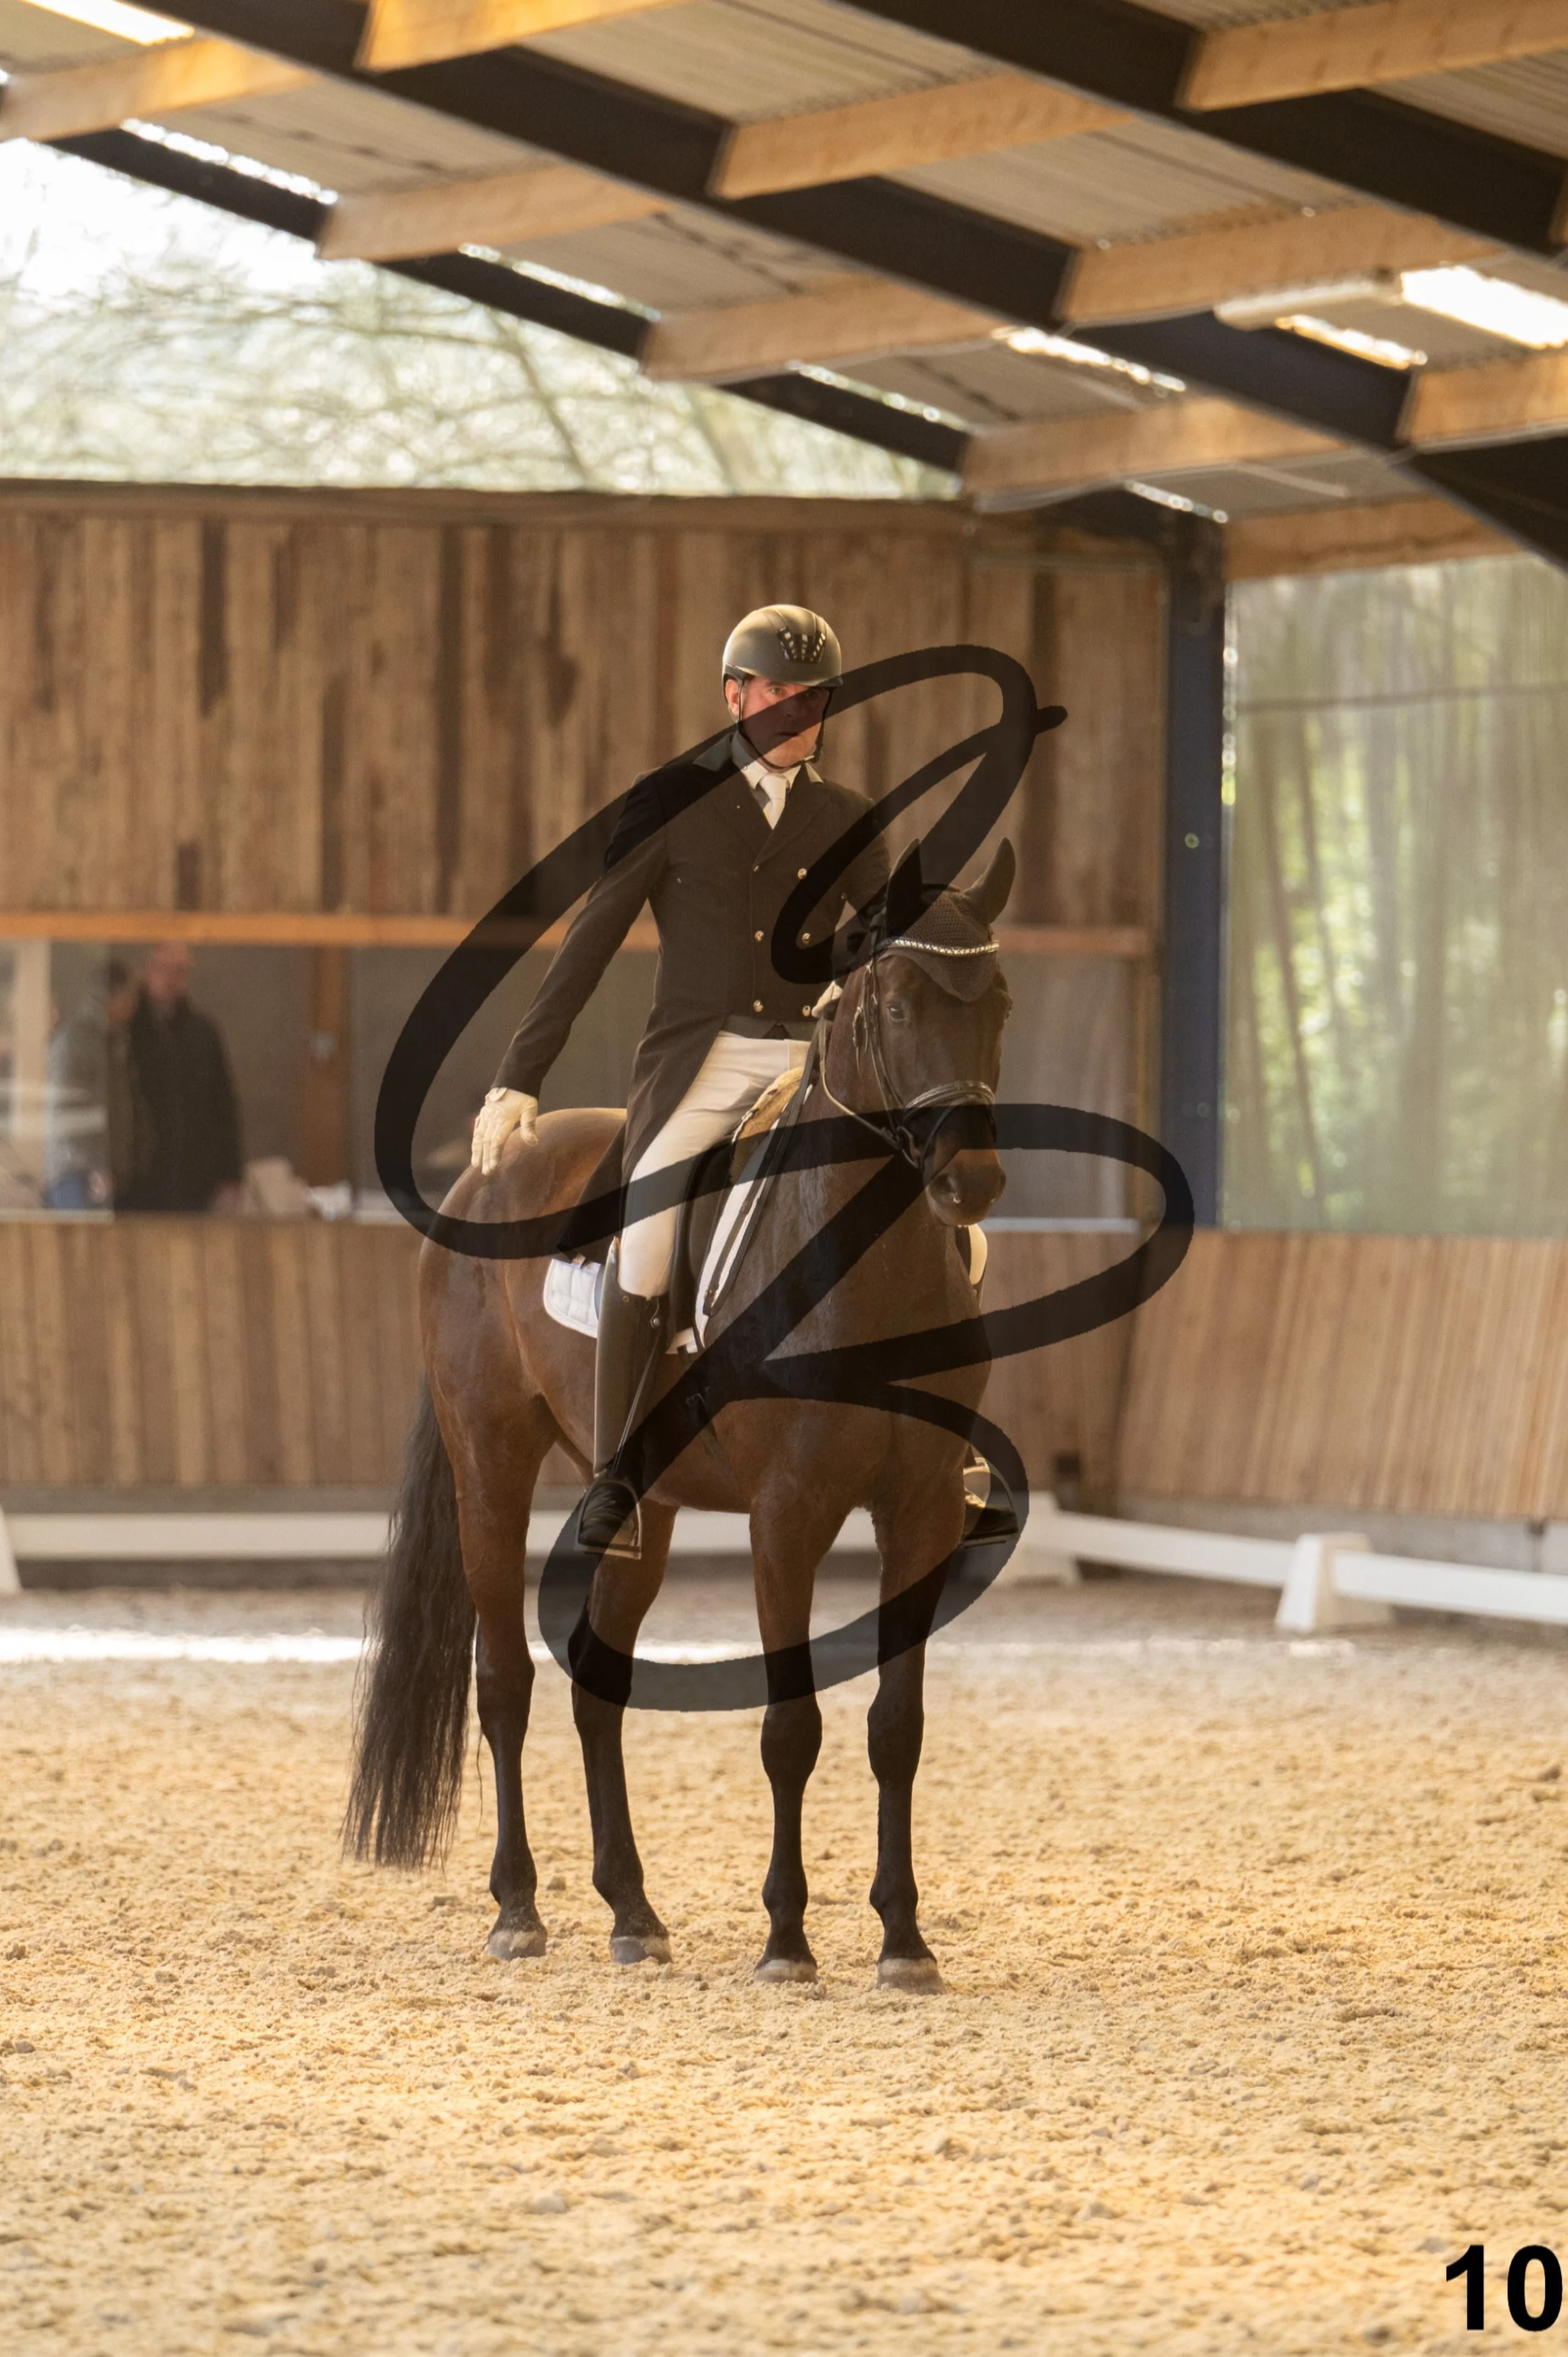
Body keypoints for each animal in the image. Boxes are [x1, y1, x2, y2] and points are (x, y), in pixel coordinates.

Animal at [345, 843, 1017, 1990]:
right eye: (891, 1004)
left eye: (1002, 1003)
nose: (969, 1180)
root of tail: (484, 1181)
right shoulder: (787, 1515)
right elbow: (792, 1726)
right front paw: (787, 1939)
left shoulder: (922, 1509)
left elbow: (897, 1725)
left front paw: (903, 1939)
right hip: (492, 1464)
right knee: (505, 1679)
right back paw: (518, 1907)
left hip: (644, 1510)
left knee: (595, 1681)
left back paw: (631, 1909)